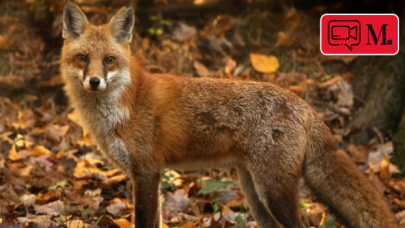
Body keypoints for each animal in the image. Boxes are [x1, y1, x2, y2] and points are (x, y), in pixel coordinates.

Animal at [60, 0, 398, 227]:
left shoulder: (146, 171)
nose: (94, 82)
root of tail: (306, 107)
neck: (123, 106)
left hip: (273, 191)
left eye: (109, 60)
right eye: (82, 58)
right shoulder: (148, 176)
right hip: (255, 193)